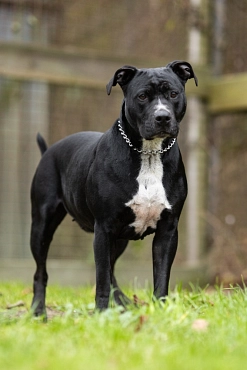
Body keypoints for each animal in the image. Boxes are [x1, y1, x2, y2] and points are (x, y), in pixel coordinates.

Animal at [30, 60, 197, 316]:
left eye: (173, 93)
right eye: (142, 96)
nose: (162, 117)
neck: (149, 154)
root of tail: (49, 150)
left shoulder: (167, 231)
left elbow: (161, 277)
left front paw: (159, 311)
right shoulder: (104, 229)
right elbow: (101, 278)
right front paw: (101, 314)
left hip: (120, 239)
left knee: (112, 271)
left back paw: (122, 303)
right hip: (41, 226)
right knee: (41, 271)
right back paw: (39, 311)